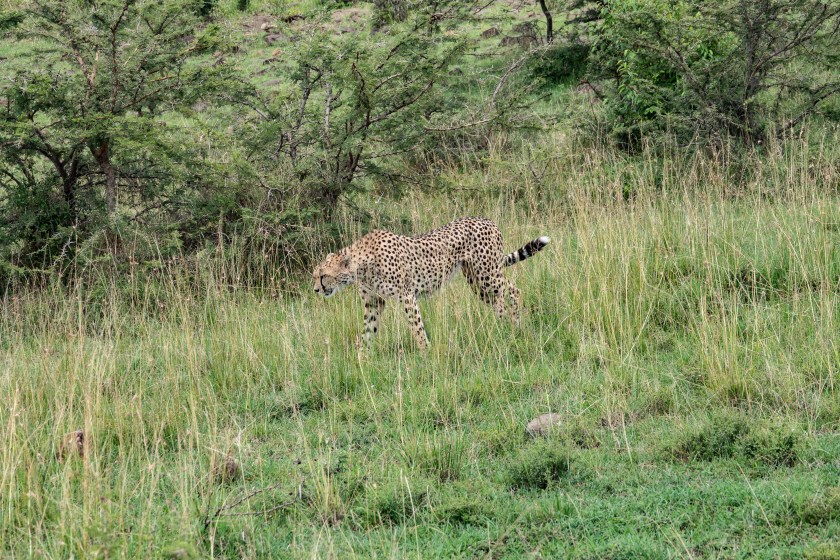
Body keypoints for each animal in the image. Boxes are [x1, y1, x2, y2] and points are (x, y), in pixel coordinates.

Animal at [312, 217, 550, 349]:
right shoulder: (374, 302)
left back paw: (517, 325)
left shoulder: (407, 296)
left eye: (323, 276)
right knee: (498, 302)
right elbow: (368, 331)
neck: (360, 264)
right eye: (315, 276)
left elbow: (416, 326)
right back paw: (502, 328)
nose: (315, 290)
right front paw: (364, 359)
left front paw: (425, 351)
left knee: (514, 290)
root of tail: (487, 220)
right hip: (477, 282)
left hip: (487, 273)